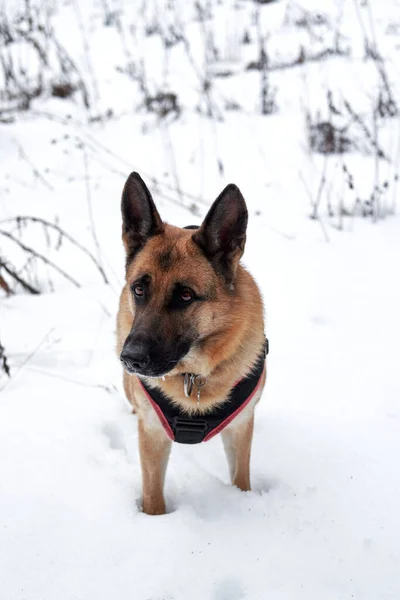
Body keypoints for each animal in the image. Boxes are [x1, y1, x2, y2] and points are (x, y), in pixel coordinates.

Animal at [116, 172, 266, 516]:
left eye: (185, 295)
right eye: (139, 289)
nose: (130, 359)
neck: (193, 377)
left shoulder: (240, 428)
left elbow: (242, 480)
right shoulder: (152, 434)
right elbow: (153, 498)